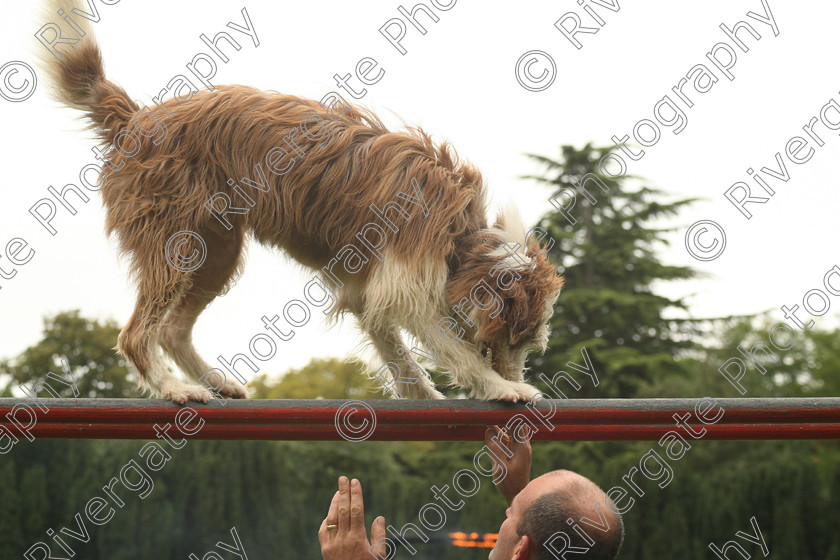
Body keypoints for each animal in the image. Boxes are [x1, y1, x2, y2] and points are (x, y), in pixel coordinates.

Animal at [39, 0, 564, 402]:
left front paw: (421, 395)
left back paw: (214, 382)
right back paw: (174, 389)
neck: (463, 240)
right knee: (134, 336)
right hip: (175, 246)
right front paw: (503, 388)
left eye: (525, 342)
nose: (516, 370)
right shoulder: (404, 285)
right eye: (508, 338)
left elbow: (395, 350)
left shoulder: (367, 286)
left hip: (216, 251)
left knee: (171, 330)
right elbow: (452, 349)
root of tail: (135, 118)